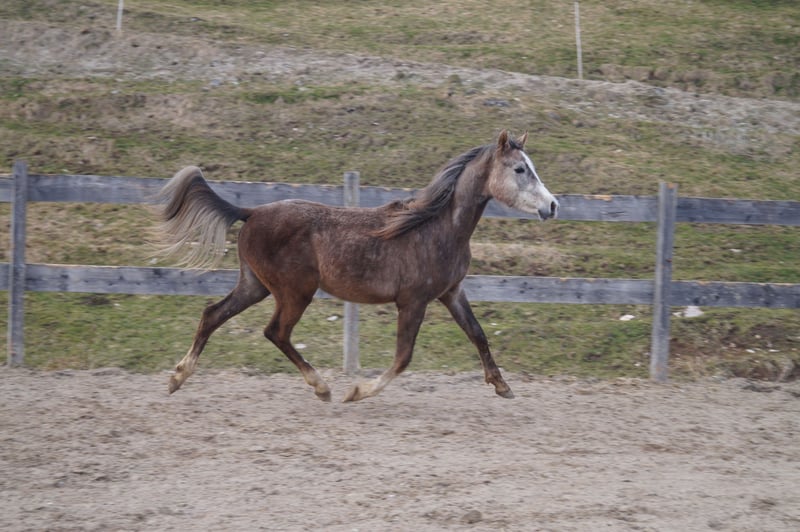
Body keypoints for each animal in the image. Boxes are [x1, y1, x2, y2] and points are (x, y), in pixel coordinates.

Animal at [156, 131, 558, 402]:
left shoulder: (451, 293)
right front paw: (358, 391)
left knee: (213, 314)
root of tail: (251, 211)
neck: (435, 228)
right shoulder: (413, 302)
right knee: (276, 332)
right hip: (294, 292)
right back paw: (322, 388)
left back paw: (177, 378)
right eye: (520, 169)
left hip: (254, 285)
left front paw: (502, 385)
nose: (553, 205)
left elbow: (478, 334)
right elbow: (403, 358)